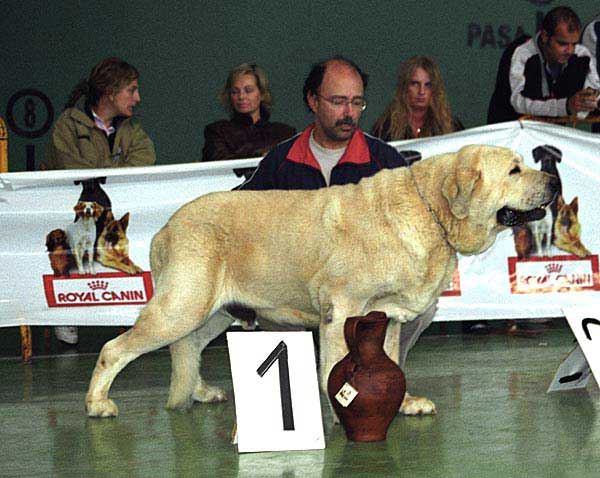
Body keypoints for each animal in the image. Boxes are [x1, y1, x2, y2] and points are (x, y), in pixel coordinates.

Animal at [86, 146, 560, 418]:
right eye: (514, 171)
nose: (554, 182)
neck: (430, 210)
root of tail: (167, 226)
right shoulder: (342, 310)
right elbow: (334, 367)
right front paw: (341, 408)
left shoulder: (388, 316)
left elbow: (393, 363)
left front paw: (404, 403)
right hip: (182, 305)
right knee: (116, 349)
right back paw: (97, 404)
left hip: (213, 312)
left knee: (187, 349)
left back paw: (200, 392)